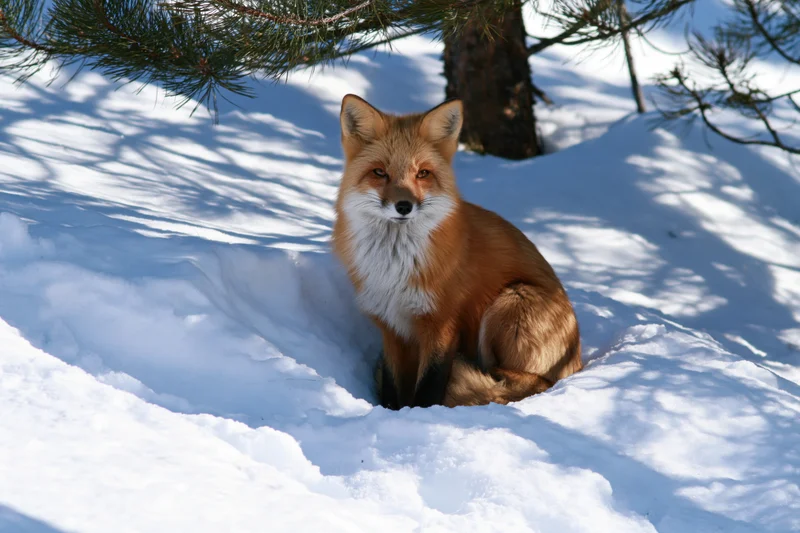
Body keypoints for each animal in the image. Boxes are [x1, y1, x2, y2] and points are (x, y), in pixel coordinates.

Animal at [332, 94, 582, 409]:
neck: (394, 269)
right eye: (379, 172)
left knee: (530, 383)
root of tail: (577, 360)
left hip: (510, 300)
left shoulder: (442, 325)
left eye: (423, 173)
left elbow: (429, 387)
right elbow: (391, 385)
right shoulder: (390, 327)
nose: (404, 206)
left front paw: (421, 413)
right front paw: (392, 410)